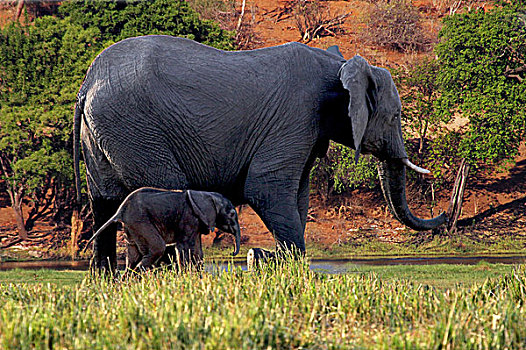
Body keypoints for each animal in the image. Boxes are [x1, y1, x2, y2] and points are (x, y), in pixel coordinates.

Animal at [84, 187, 241, 272]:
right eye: (232, 214)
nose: (232, 253)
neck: (206, 195)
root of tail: (119, 211)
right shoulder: (188, 217)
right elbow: (184, 247)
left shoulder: (196, 222)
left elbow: (197, 251)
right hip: (140, 222)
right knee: (157, 248)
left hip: (132, 227)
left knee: (133, 256)